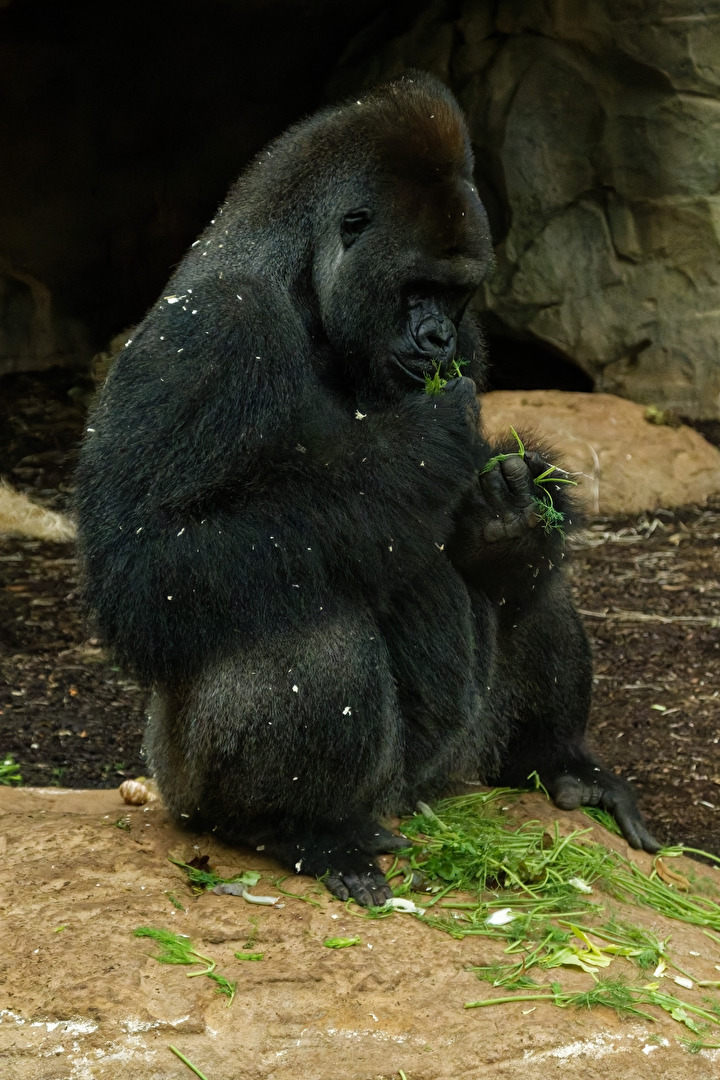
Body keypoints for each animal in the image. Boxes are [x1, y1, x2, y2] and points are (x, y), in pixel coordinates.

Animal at [76, 71, 658, 907]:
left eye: (456, 296)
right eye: (416, 287)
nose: (438, 340)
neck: (306, 287)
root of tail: (402, 803)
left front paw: (508, 519)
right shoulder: (208, 332)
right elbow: (147, 564)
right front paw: (419, 446)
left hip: (448, 767)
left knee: (534, 592)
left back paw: (556, 760)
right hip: (192, 785)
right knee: (290, 606)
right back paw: (294, 829)